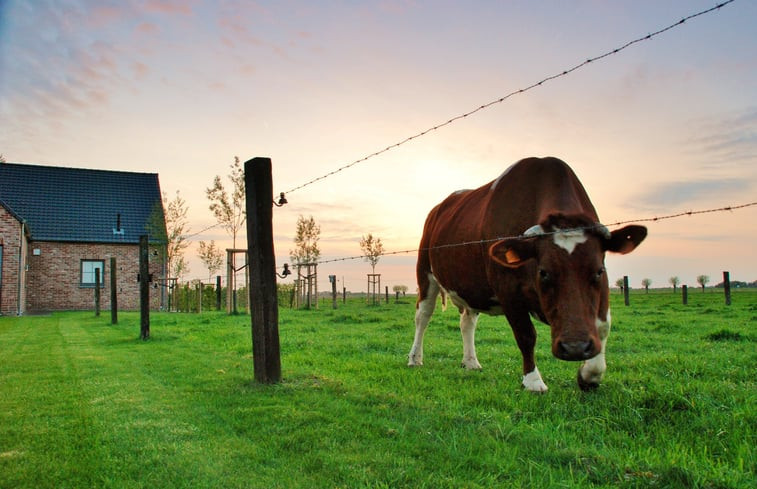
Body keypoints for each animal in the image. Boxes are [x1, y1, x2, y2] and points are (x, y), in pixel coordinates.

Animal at [408, 158, 644, 390]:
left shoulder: (602, 290)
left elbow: (603, 326)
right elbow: (526, 334)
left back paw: (471, 362)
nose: (575, 348)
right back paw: (415, 358)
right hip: (425, 272)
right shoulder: (508, 289)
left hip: (470, 286)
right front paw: (533, 380)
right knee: (423, 315)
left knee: (467, 321)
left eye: (598, 271)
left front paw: (589, 375)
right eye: (544, 272)